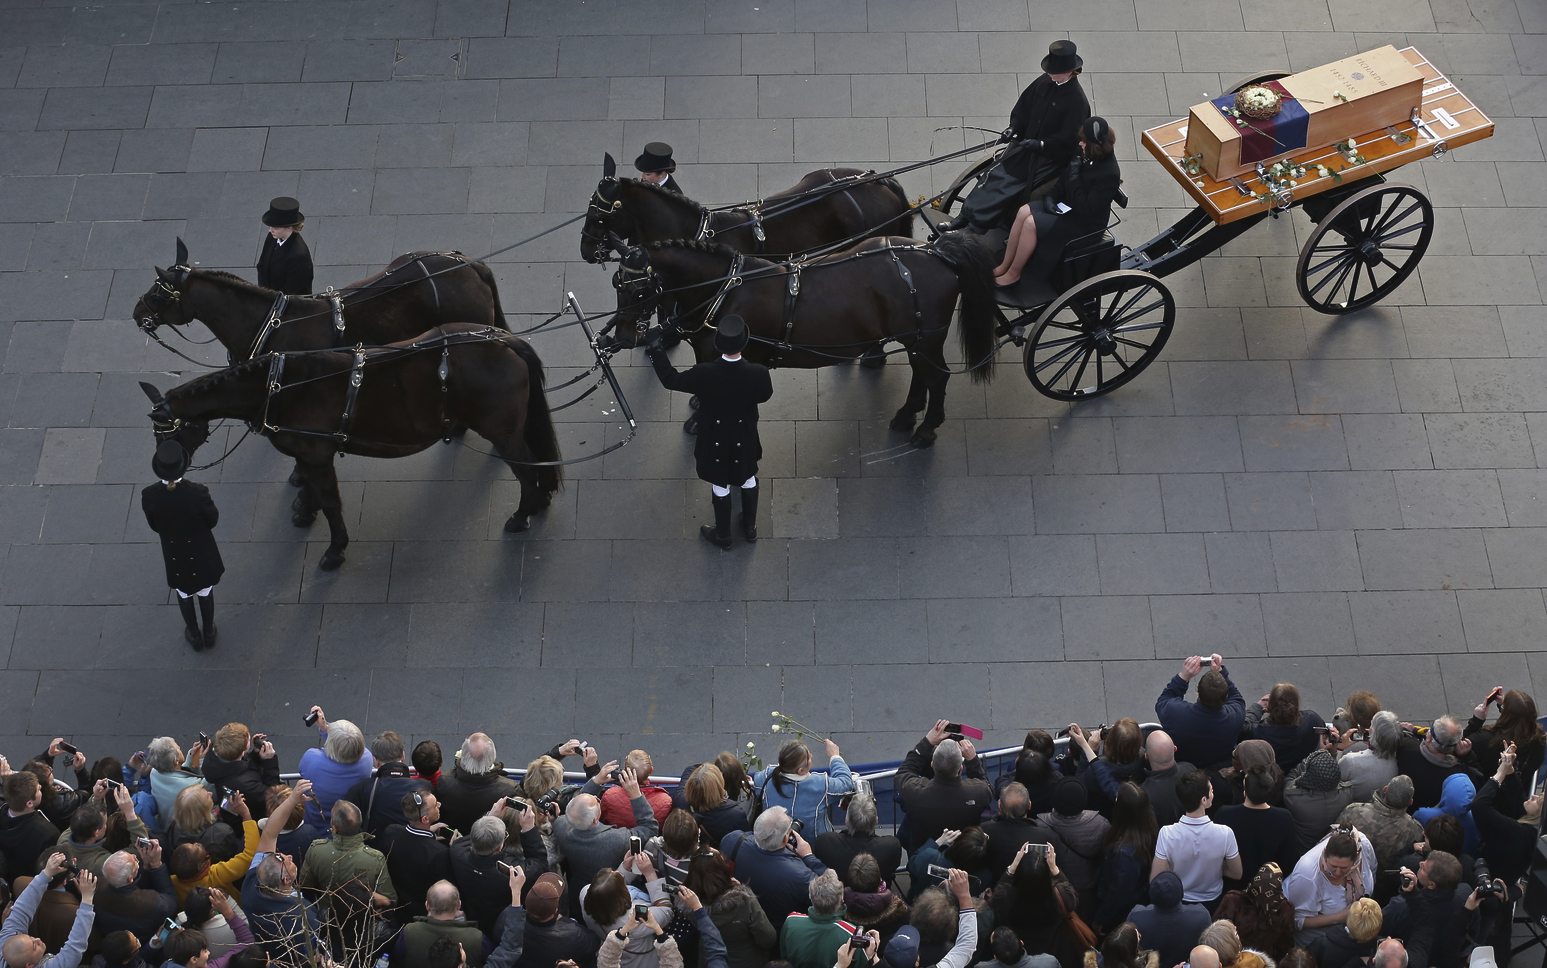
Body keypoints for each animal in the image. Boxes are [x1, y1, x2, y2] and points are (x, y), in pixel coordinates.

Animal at [139, 324, 563, 565]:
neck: (281, 385)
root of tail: (503, 341)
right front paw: (304, 511)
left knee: (525, 468)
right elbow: (312, 489)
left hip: (503, 433)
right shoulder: (307, 454)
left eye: (168, 431)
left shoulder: (316, 455)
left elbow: (330, 501)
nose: (165, 468)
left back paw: (523, 513)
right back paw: (540, 501)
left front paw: (334, 547)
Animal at [603, 231, 1002, 445]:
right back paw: (907, 415)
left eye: (638, 290)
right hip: (916, 339)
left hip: (927, 339)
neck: (725, 290)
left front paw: (701, 421)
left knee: (937, 378)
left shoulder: (714, 356)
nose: (623, 335)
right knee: (923, 374)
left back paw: (927, 429)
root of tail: (935, 250)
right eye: (616, 283)